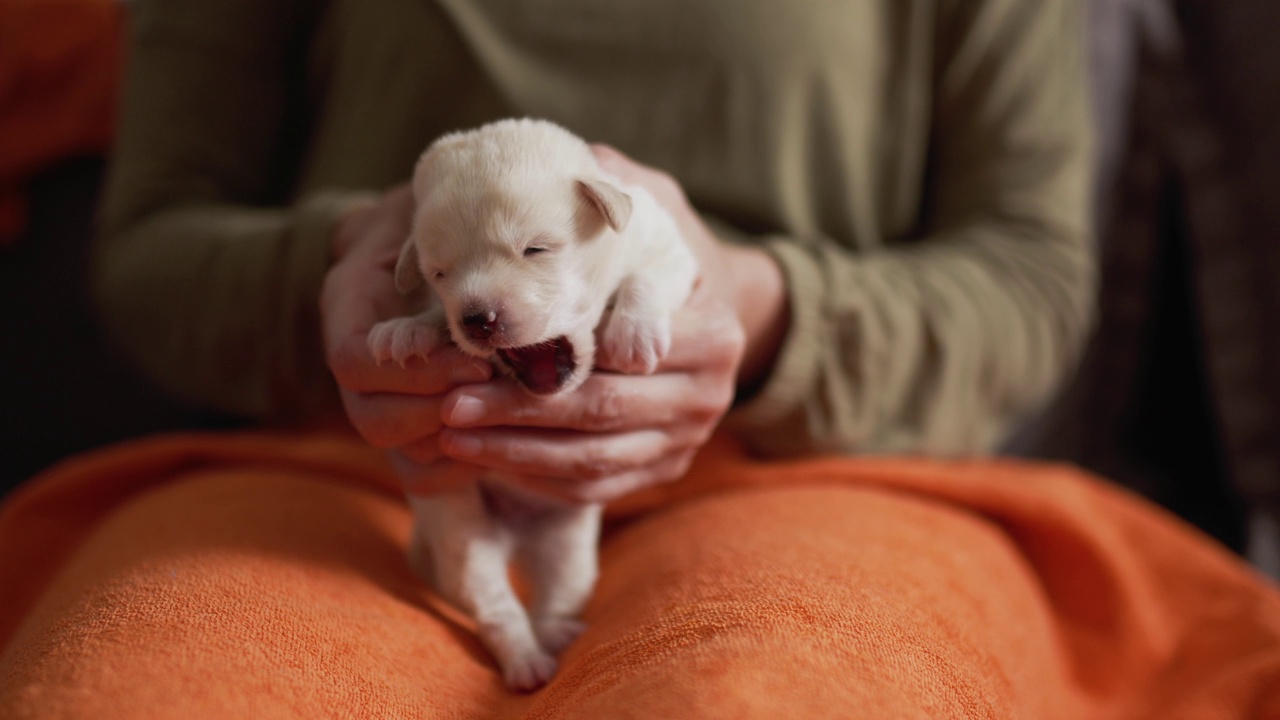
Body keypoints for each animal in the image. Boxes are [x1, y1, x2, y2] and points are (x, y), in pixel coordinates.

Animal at [363, 119, 701, 691]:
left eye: (536, 249)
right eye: (439, 273)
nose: (477, 319)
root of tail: (515, 535)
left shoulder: (664, 240)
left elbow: (650, 274)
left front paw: (634, 333)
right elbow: (430, 316)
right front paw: (407, 330)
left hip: (567, 544)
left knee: (559, 591)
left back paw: (556, 634)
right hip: (461, 533)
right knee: (492, 604)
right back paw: (527, 662)